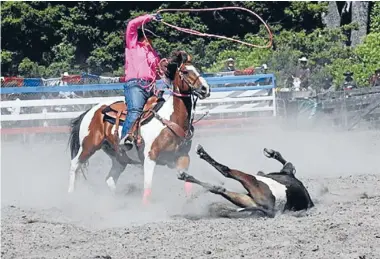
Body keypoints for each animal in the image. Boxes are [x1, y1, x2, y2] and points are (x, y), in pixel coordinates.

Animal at [68, 51, 211, 205]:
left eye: (197, 69)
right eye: (185, 71)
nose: (205, 89)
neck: (171, 120)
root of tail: (90, 110)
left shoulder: (183, 157)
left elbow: (188, 183)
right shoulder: (150, 157)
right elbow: (148, 186)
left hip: (119, 157)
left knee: (110, 179)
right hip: (88, 146)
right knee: (74, 165)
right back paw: (70, 196)